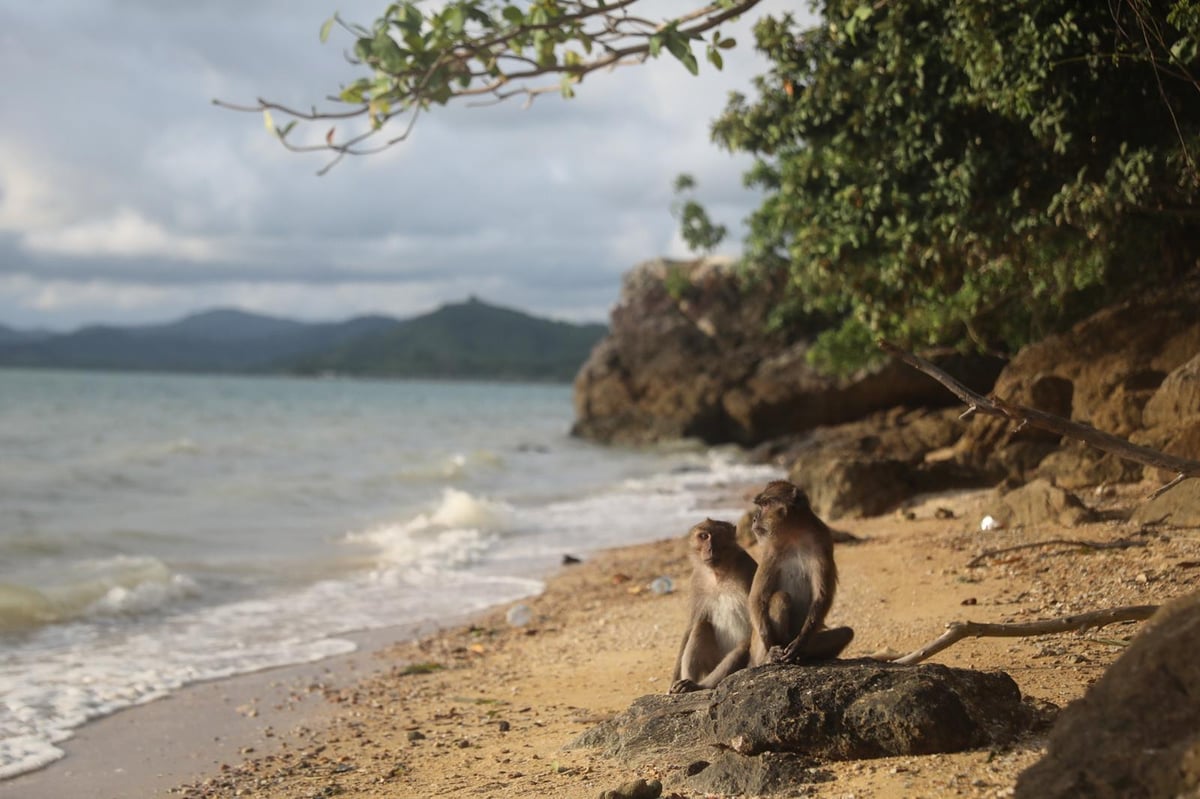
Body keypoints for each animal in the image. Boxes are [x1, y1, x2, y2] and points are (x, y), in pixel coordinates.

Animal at [672, 515, 753, 691]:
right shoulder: (697, 581)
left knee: (743, 645)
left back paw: (698, 686)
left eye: (718, 536)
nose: (710, 549)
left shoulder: (748, 569)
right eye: (703, 536)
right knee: (701, 627)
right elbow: (692, 625)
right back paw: (687, 683)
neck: (719, 574)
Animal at [748, 479, 854, 667]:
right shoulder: (770, 550)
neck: (794, 535)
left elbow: (822, 596)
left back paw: (802, 655)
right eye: (760, 505)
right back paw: (772, 655)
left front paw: (800, 644)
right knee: (780, 597)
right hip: (757, 651)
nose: (754, 518)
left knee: (846, 632)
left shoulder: (822, 542)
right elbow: (757, 598)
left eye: (765, 505)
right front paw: (771, 650)